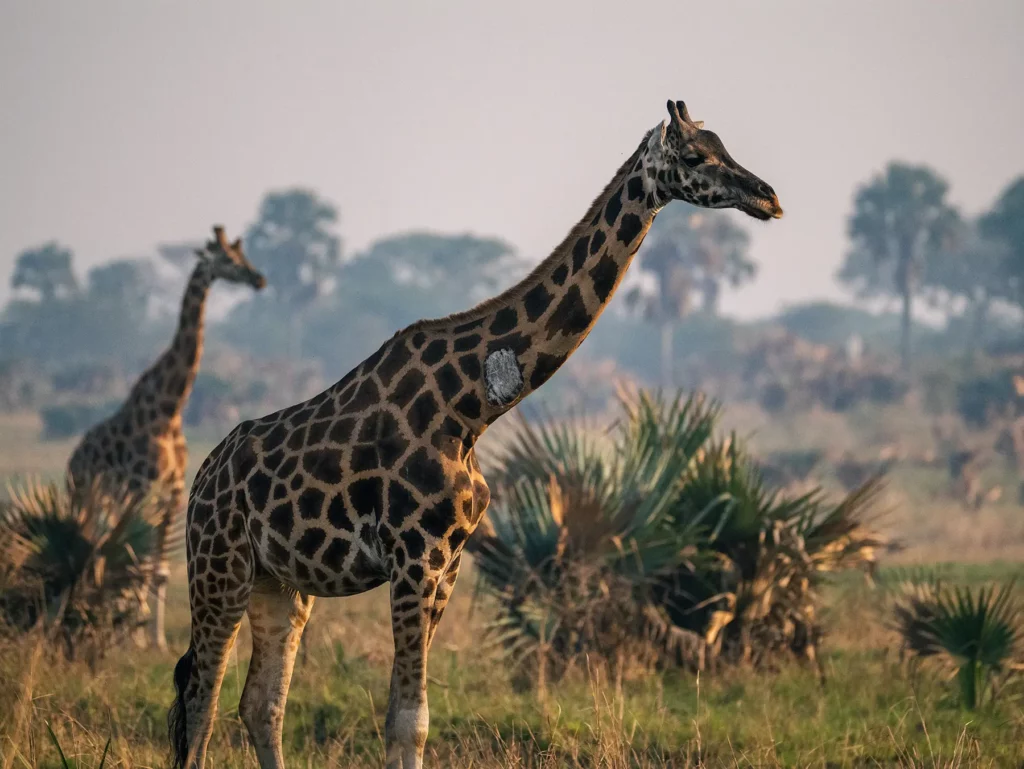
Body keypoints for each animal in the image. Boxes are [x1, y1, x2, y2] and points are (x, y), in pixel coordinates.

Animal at [67, 225, 266, 650]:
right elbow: (139, 560)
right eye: (228, 259)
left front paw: (153, 638)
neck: (169, 409)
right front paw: (135, 635)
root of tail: (72, 461)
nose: (258, 278)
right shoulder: (141, 486)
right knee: (93, 542)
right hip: (85, 496)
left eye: (244, 255)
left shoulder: (173, 490)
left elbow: (157, 567)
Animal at [167, 99, 783, 769]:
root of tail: (200, 483)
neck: (472, 407)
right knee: (199, 701)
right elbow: (406, 723)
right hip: (219, 568)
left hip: (280, 585)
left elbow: (407, 720)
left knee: (260, 704)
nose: (769, 198)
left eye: (724, 145)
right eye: (696, 156)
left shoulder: (448, 565)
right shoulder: (414, 558)